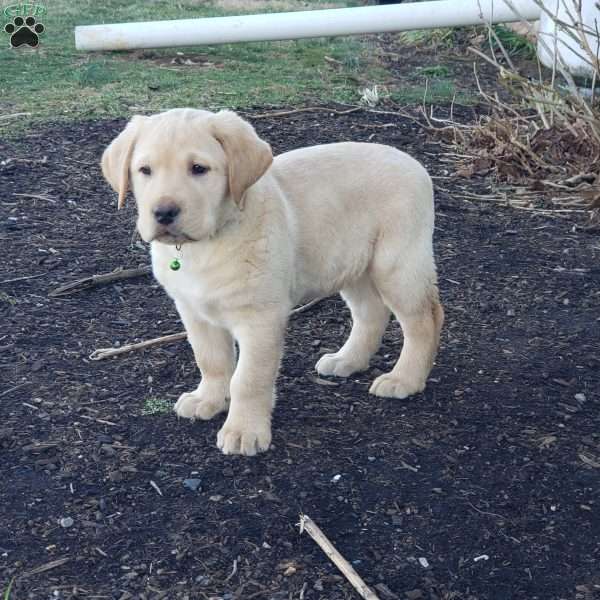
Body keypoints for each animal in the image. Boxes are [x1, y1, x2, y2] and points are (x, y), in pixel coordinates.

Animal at [102, 108, 440, 454]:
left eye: (198, 169)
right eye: (145, 170)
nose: (164, 213)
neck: (207, 243)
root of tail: (412, 163)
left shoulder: (261, 317)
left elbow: (249, 379)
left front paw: (243, 431)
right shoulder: (194, 312)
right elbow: (211, 361)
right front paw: (207, 400)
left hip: (396, 264)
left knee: (425, 319)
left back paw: (404, 379)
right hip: (350, 264)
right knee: (371, 312)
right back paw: (347, 360)